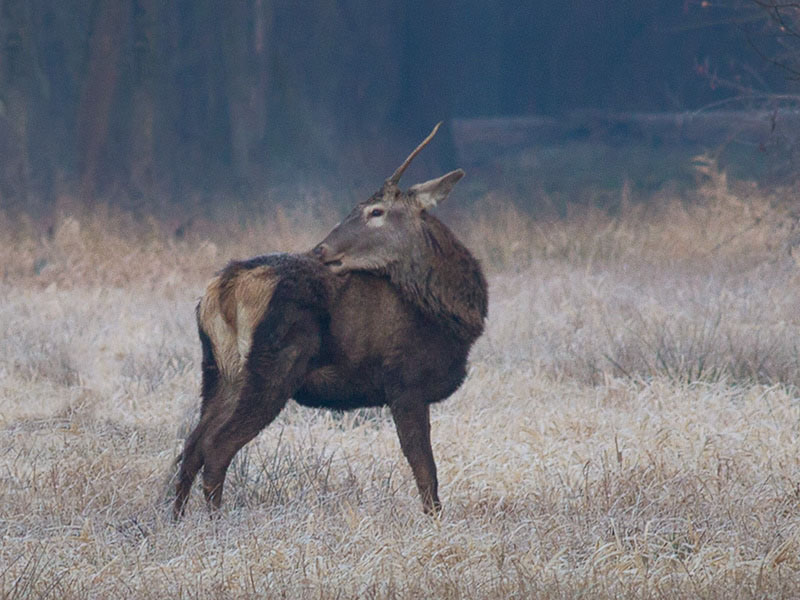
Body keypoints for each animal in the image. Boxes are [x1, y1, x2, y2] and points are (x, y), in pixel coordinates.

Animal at [175, 124, 488, 516]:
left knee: (191, 446)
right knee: (216, 448)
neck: (452, 316)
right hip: (275, 364)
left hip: (218, 371)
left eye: (376, 211)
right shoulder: (405, 382)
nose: (320, 249)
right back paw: (217, 521)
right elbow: (425, 472)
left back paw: (175, 518)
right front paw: (435, 522)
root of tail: (223, 288)